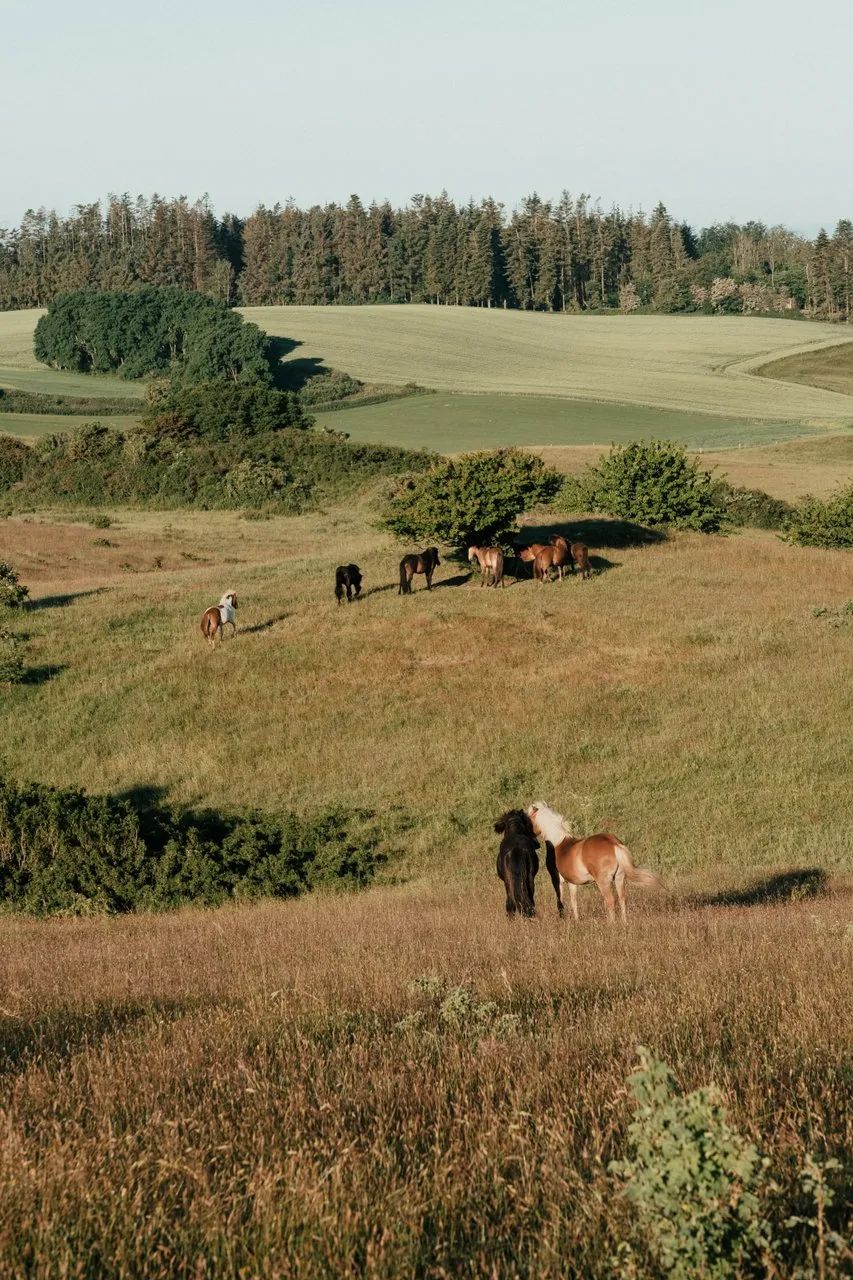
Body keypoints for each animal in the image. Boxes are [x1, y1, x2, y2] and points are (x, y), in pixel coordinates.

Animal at [525, 798, 666, 921]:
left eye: (528, 819)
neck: (558, 843)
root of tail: (614, 843)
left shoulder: (557, 881)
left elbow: (561, 902)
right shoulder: (572, 882)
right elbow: (574, 901)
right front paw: (576, 921)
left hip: (603, 882)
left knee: (610, 901)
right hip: (619, 878)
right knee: (622, 900)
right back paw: (624, 923)